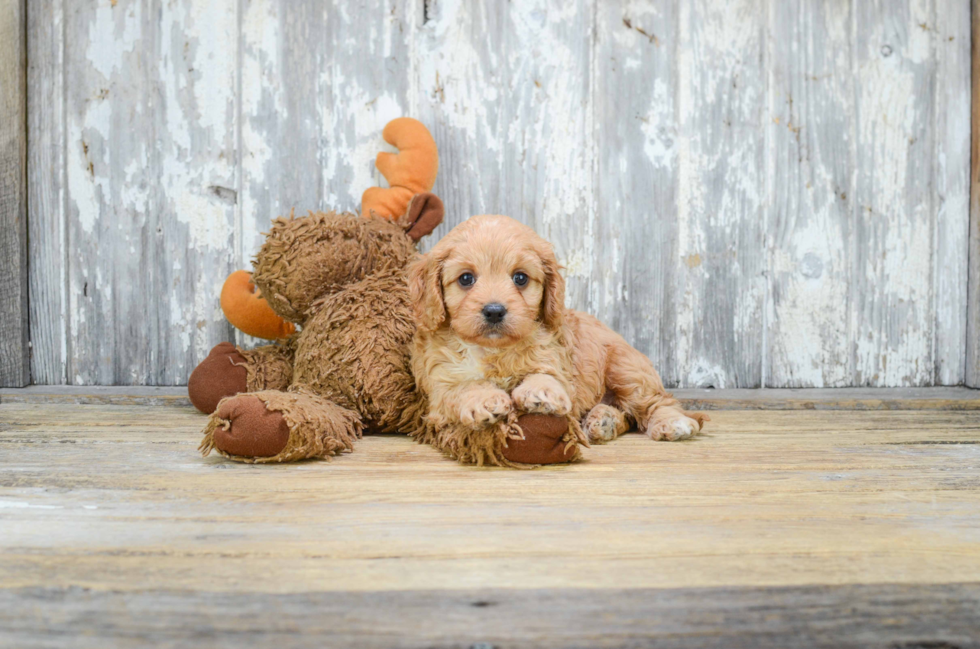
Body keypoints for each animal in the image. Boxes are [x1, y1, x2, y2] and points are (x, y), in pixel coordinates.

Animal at [410, 215, 708, 458]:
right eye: (466, 279)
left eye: (520, 278)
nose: (494, 311)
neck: (495, 350)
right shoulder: (439, 387)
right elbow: (463, 387)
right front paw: (485, 400)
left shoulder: (557, 362)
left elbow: (547, 375)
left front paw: (540, 391)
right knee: (628, 415)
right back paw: (604, 420)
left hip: (627, 369)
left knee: (657, 402)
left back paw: (671, 422)